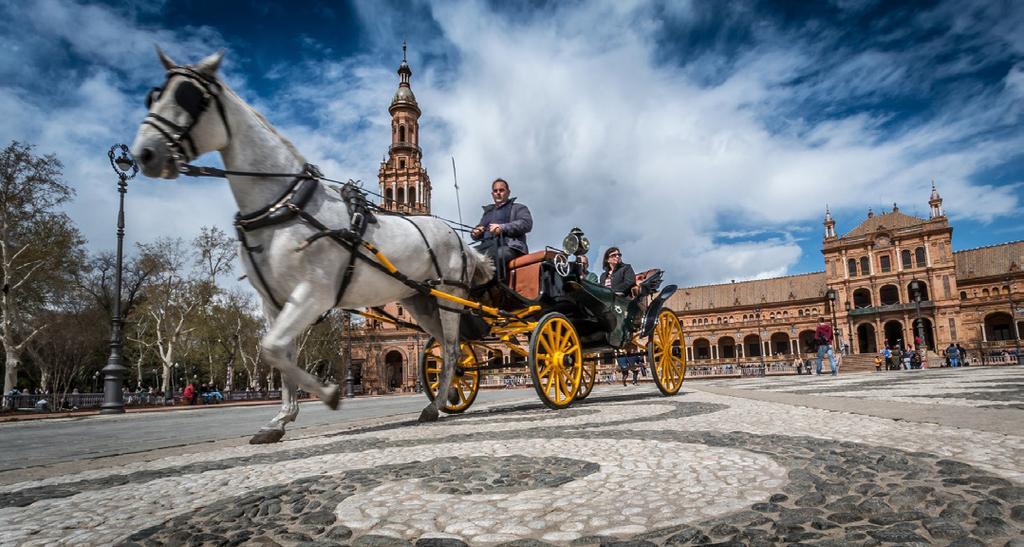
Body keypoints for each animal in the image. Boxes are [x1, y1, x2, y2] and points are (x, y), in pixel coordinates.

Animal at [130, 48, 493, 446]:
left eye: (189, 97)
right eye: (153, 96)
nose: (144, 153)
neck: (284, 204)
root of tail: (458, 239)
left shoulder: (313, 294)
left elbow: (274, 349)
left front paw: (329, 394)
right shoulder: (275, 303)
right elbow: (278, 353)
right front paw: (281, 419)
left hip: (448, 297)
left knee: (452, 347)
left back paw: (435, 405)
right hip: (421, 301)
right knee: (448, 349)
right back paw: (447, 396)